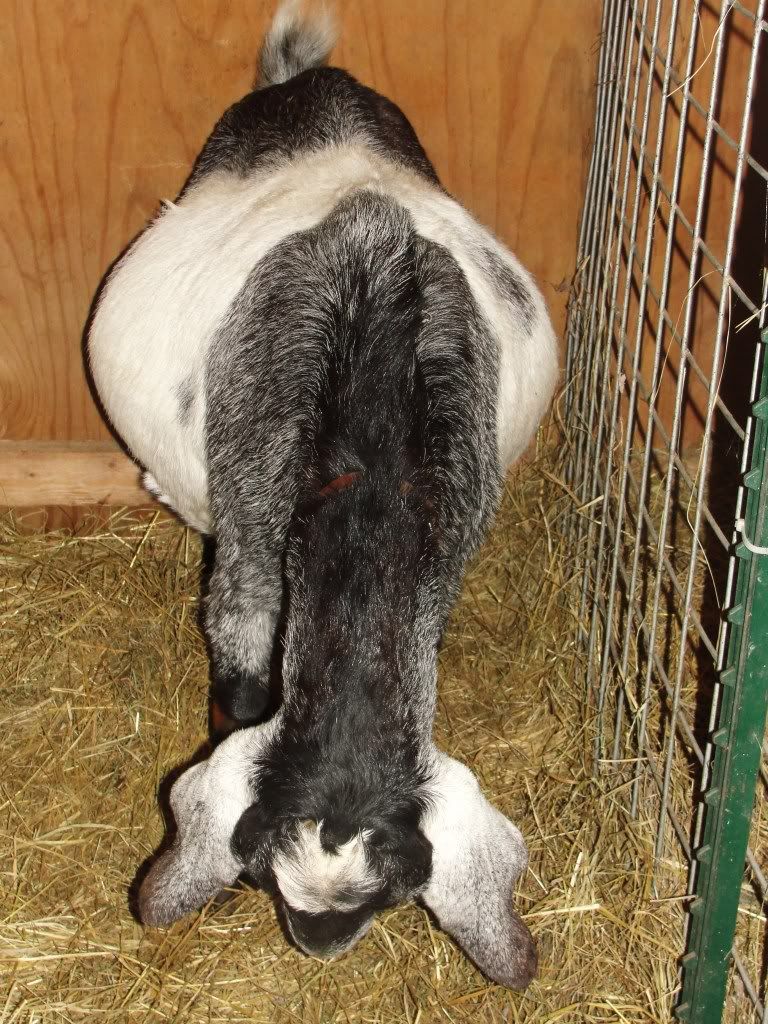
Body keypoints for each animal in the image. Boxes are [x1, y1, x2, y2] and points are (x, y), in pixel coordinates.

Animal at [87, 0, 559, 989]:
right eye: (261, 873)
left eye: (394, 896)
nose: (316, 946)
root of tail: (308, 84)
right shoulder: (252, 541)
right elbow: (238, 678)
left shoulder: (445, 558)